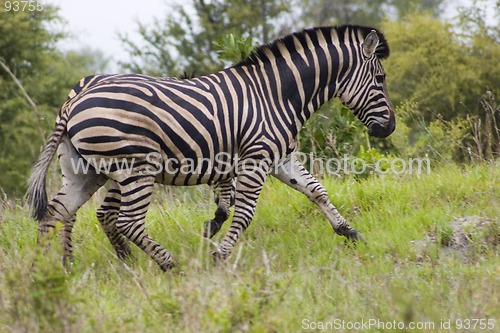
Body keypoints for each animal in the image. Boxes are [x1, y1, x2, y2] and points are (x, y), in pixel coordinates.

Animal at [27, 25, 396, 270]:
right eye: (380, 79)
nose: (389, 128)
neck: (277, 95)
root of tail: (73, 101)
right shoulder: (256, 159)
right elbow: (243, 213)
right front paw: (220, 255)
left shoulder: (279, 158)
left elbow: (316, 191)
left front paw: (350, 232)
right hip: (135, 169)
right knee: (125, 221)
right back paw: (169, 265)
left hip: (84, 171)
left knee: (56, 214)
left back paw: (49, 274)